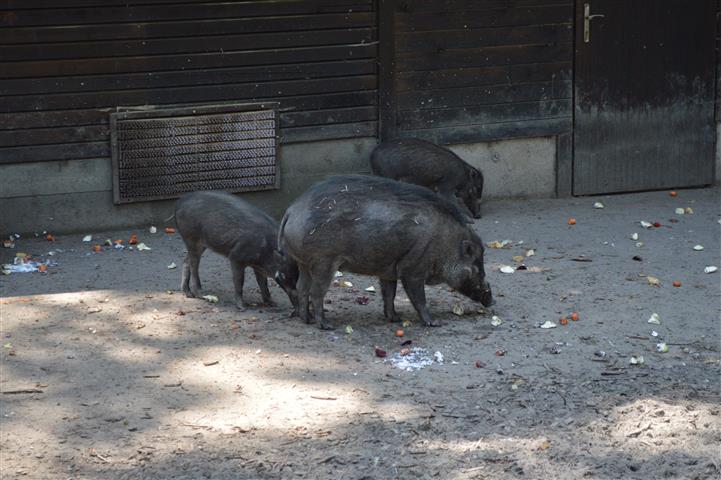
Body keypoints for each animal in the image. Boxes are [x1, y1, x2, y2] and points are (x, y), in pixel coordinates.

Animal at [278, 175, 493, 330]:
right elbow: (418, 298)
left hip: (304, 263)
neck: (444, 243)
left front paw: (395, 319)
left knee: (301, 287)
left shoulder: (388, 271)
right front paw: (433, 323)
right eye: (476, 265)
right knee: (316, 292)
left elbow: (389, 294)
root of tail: (291, 210)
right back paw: (326, 325)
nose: (491, 300)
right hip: (323, 262)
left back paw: (306, 319)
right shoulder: (412, 269)